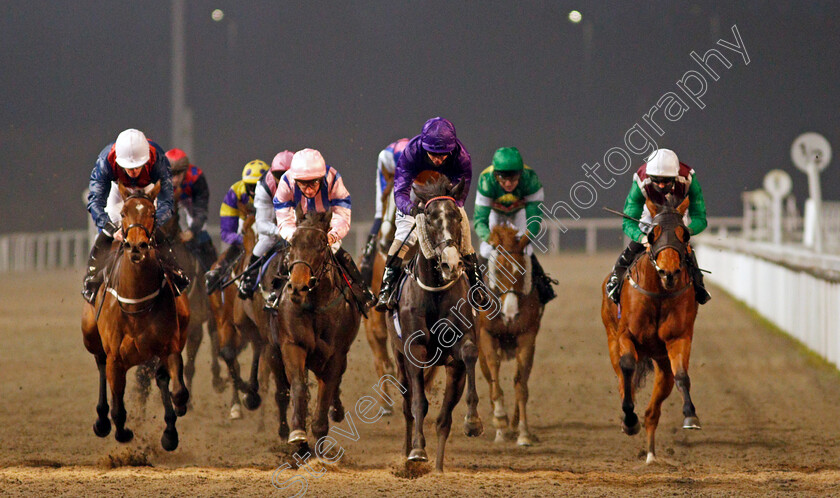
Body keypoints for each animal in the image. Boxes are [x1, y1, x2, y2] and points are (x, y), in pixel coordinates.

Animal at [81, 183, 190, 452]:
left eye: (152, 213)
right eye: (123, 214)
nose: (137, 246)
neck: (137, 302)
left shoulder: (169, 346)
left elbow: (178, 389)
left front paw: (172, 427)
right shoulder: (116, 358)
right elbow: (118, 408)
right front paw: (122, 431)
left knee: (161, 378)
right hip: (91, 336)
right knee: (100, 366)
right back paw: (102, 421)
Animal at [270, 206, 360, 448]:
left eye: (321, 245)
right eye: (293, 242)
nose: (297, 287)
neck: (315, 307)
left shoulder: (335, 354)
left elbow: (328, 388)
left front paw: (319, 431)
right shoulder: (292, 344)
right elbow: (298, 385)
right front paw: (298, 435)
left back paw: (336, 410)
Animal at [388, 177, 486, 472]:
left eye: (456, 216)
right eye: (430, 217)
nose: (450, 263)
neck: (435, 294)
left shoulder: (459, 349)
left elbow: (469, 353)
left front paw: (473, 421)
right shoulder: (414, 350)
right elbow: (419, 403)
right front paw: (417, 451)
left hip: (452, 369)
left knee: (443, 418)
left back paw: (439, 466)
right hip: (398, 359)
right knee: (407, 404)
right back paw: (407, 452)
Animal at [476, 224, 540, 446]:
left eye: (522, 270)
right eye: (497, 270)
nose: (510, 314)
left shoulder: (527, 337)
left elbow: (521, 385)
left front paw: (523, 432)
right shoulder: (486, 334)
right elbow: (494, 371)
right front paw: (499, 419)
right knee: (489, 379)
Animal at [600, 196, 700, 464]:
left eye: (684, 234)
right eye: (653, 233)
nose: (669, 272)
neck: (659, 294)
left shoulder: (678, 338)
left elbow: (682, 376)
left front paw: (690, 415)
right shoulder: (625, 336)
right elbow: (627, 368)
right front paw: (628, 419)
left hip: (662, 364)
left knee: (653, 411)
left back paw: (651, 453)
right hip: (612, 339)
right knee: (623, 380)